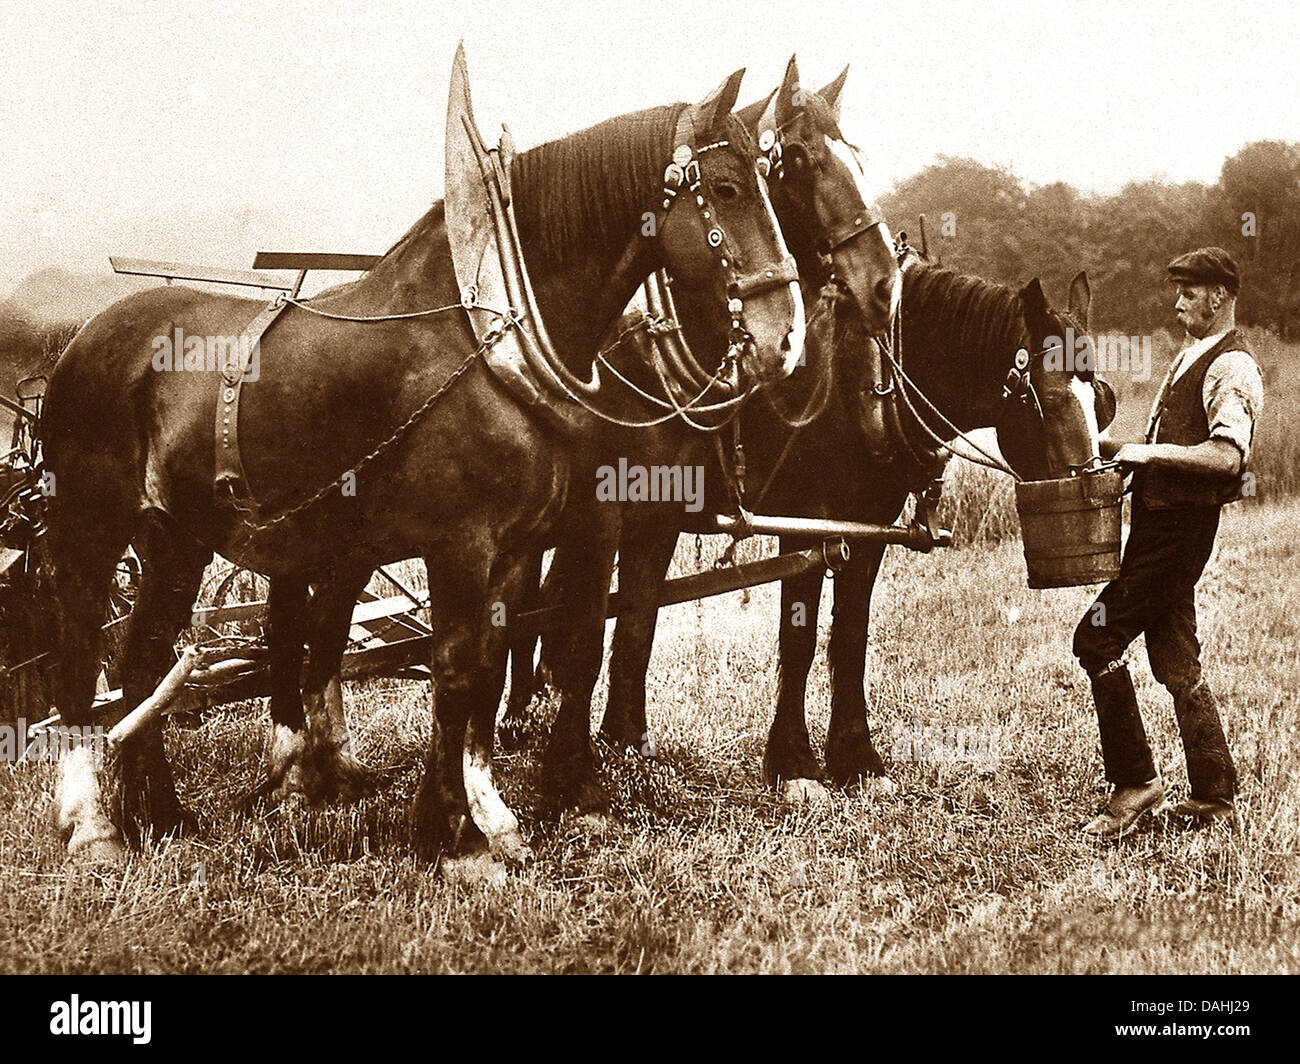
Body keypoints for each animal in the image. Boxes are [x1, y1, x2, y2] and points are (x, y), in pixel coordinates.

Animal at [40, 61, 806, 870]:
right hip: (90, 530)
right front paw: (450, 833)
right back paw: (94, 825)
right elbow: (457, 668)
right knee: (80, 658)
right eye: (728, 188)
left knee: (142, 661)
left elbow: (490, 666)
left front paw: (487, 816)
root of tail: (86, 335)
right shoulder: (460, 544)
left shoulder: (514, 549)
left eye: (769, 180)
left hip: (176, 539)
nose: (787, 338)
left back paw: (161, 814)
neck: (492, 348)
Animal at [529, 250, 1116, 802]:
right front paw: (794, 766)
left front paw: (858, 760)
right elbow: (800, 640)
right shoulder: (804, 523)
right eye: (1046, 397)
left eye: (1101, 400)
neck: (860, 377)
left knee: (623, 612)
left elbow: (850, 639)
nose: (1088, 485)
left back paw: (604, 733)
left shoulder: (867, 528)